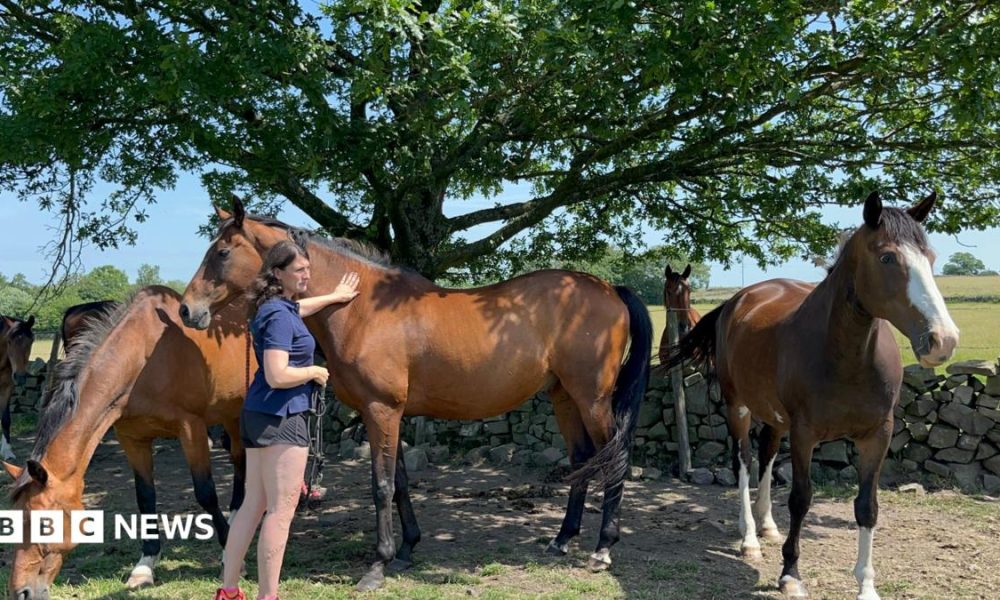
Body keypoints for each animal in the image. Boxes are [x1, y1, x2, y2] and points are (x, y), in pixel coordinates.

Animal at [3, 286, 252, 600]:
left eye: (42, 523)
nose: (21, 592)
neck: (144, 359)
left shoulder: (192, 428)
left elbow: (205, 493)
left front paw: (231, 558)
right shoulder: (132, 438)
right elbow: (145, 498)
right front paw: (144, 567)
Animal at [178, 198, 653, 591]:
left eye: (222, 252)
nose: (187, 310)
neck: (362, 308)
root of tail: (608, 288)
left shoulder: (381, 410)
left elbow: (382, 485)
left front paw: (378, 565)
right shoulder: (392, 413)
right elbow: (401, 482)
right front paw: (407, 549)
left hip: (592, 398)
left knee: (615, 459)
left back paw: (602, 548)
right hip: (563, 397)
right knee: (582, 460)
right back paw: (562, 539)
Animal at [665, 191, 959, 600]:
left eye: (929, 257)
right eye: (887, 257)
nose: (942, 340)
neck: (845, 358)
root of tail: (739, 300)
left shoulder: (877, 435)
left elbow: (867, 507)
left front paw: (866, 585)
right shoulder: (805, 434)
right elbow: (800, 499)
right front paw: (790, 574)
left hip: (774, 418)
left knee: (767, 457)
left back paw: (767, 526)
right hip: (739, 407)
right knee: (743, 462)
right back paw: (750, 537)